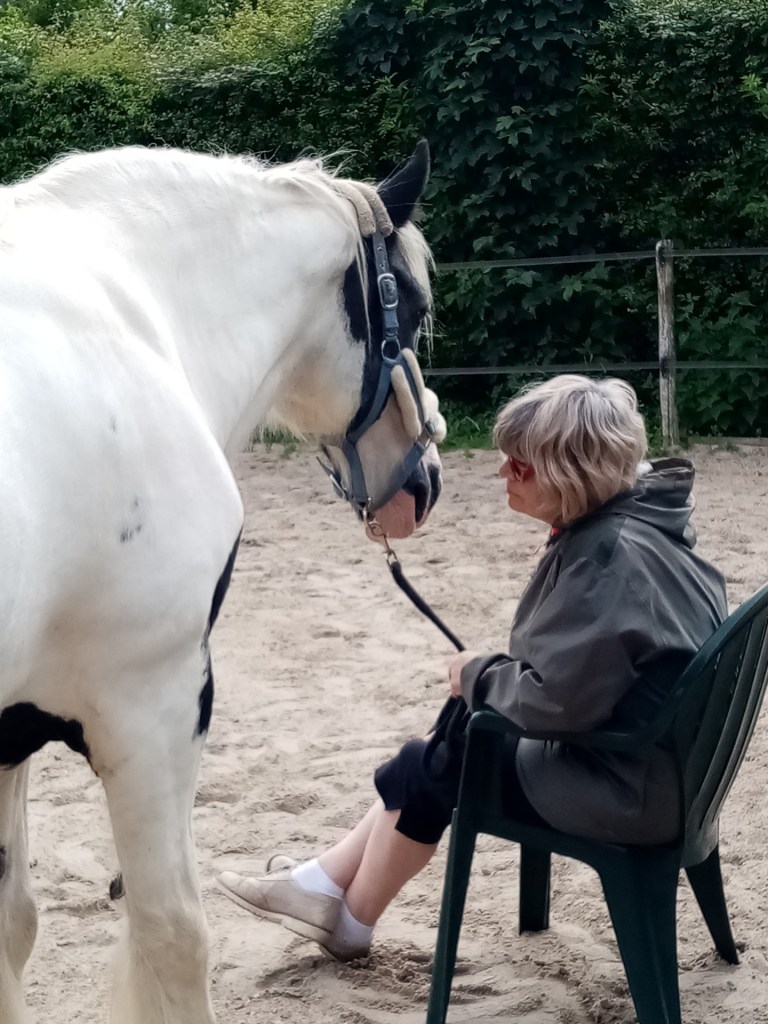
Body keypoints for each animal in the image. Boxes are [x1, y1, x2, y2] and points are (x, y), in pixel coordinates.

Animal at [0, 140, 444, 1024]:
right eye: (409, 310)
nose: (425, 481)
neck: (130, 315)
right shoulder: (151, 707)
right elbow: (174, 936)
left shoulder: (10, 731)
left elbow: (13, 924)